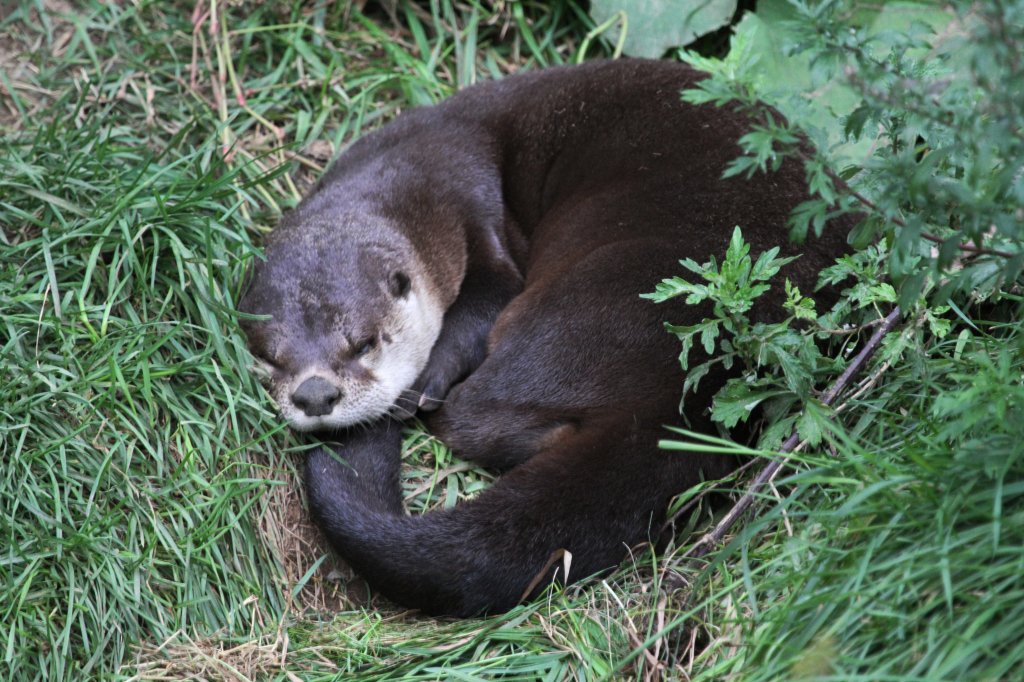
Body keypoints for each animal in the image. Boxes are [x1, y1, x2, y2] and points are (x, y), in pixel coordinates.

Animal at [235, 58, 851, 614]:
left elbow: (485, 302)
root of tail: (679, 398)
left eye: (364, 342)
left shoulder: (471, 211)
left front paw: (425, 379)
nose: (316, 395)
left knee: (468, 416)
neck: (408, 172)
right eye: (272, 358)